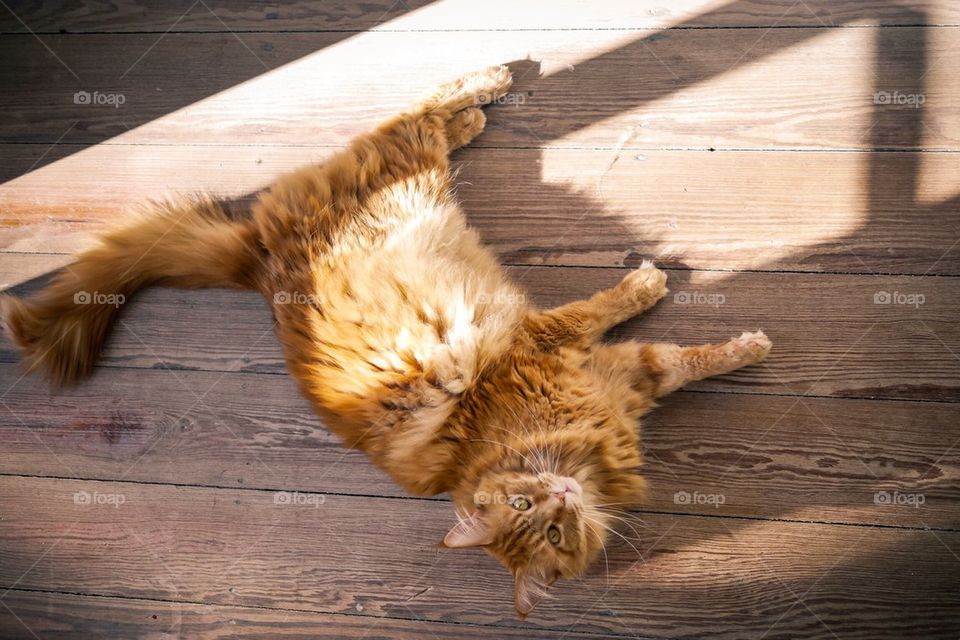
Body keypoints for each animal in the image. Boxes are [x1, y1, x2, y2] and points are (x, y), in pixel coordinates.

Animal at [0, 65, 764, 616]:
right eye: (538, 523)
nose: (561, 498)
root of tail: (256, 262)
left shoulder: (575, 357)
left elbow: (647, 331)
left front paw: (729, 334)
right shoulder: (604, 367)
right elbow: (652, 341)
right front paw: (706, 321)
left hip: (409, 177)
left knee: (419, 108)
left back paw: (488, 87)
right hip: (412, 179)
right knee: (420, 117)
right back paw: (480, 105)